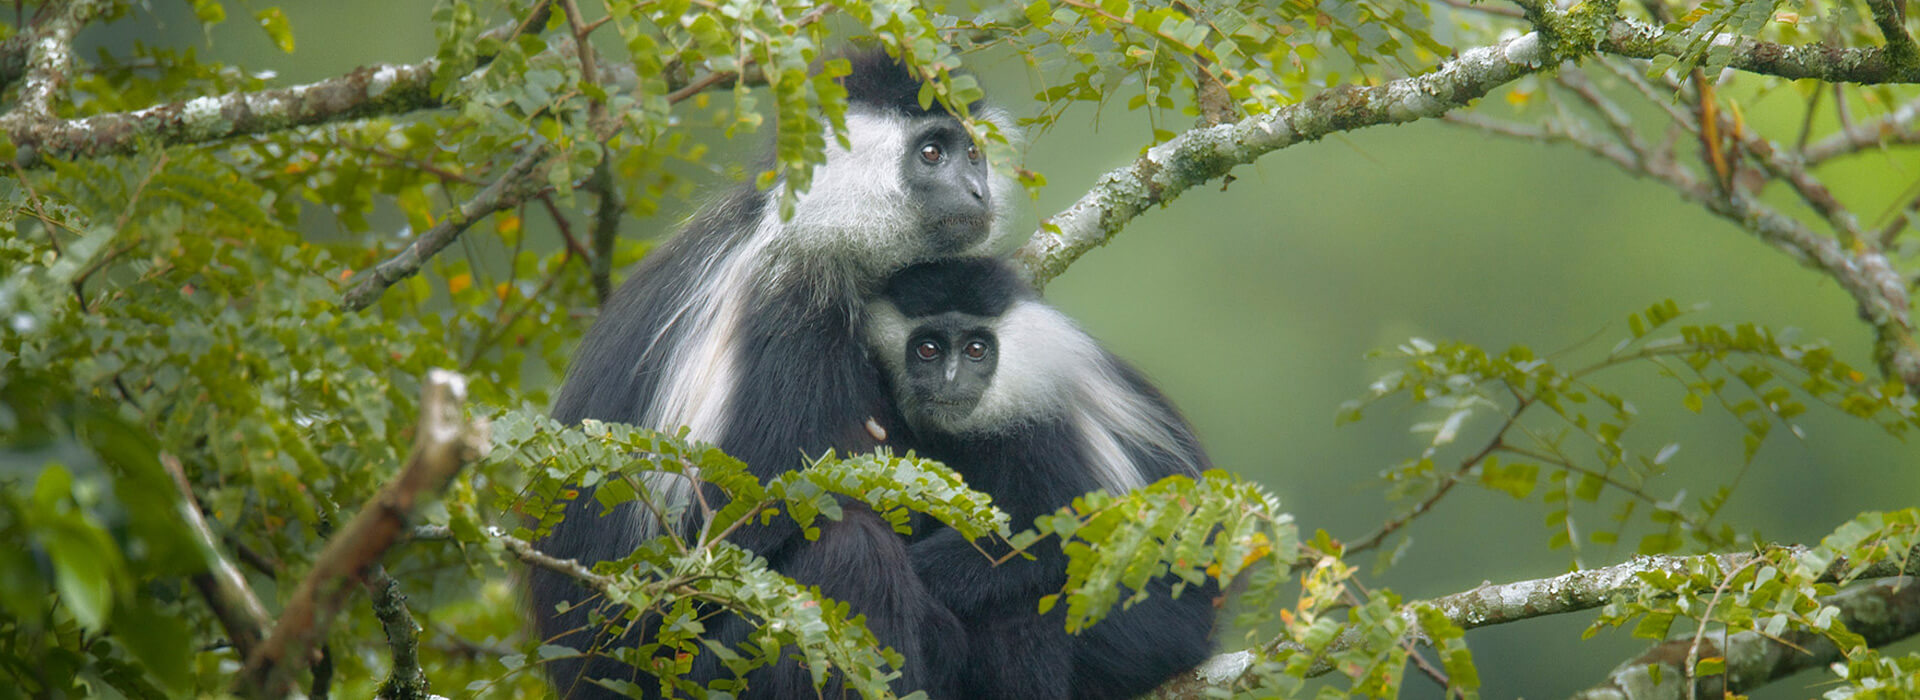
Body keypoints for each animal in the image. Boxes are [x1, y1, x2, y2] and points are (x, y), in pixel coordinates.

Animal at [537, 51, 1021, 694]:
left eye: (973, 153)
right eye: (931, 153)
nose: (976, 189)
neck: (816, 231)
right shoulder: (787, 319)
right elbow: (733, 531)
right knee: (849, 554)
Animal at [871, 256, 1213, 698]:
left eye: (976, 349)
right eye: (927, 349)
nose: (950, 381)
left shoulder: (1046, 432)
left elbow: (1058, 534)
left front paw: (918, 572)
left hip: (1154, 629)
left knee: (1024, 609)